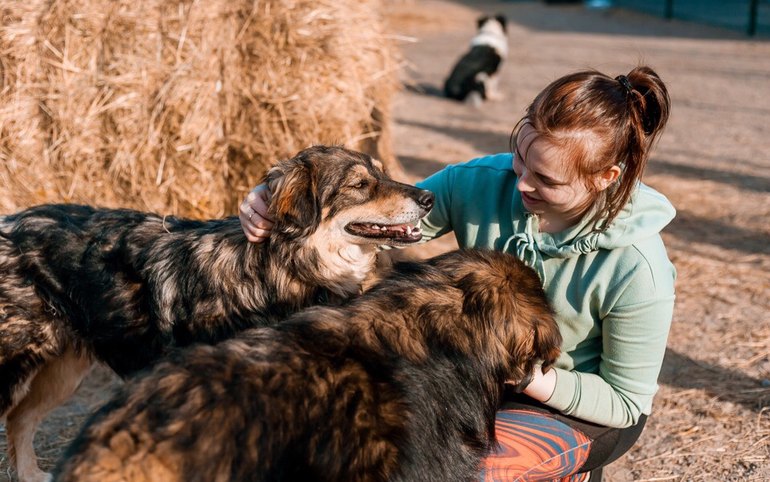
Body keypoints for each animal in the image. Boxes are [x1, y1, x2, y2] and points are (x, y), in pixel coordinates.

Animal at [0, 144, 432, 482]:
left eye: (383, 173)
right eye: (360, 185)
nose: (427, 198)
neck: (279, 266)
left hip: (64, 370)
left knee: (20, 419)